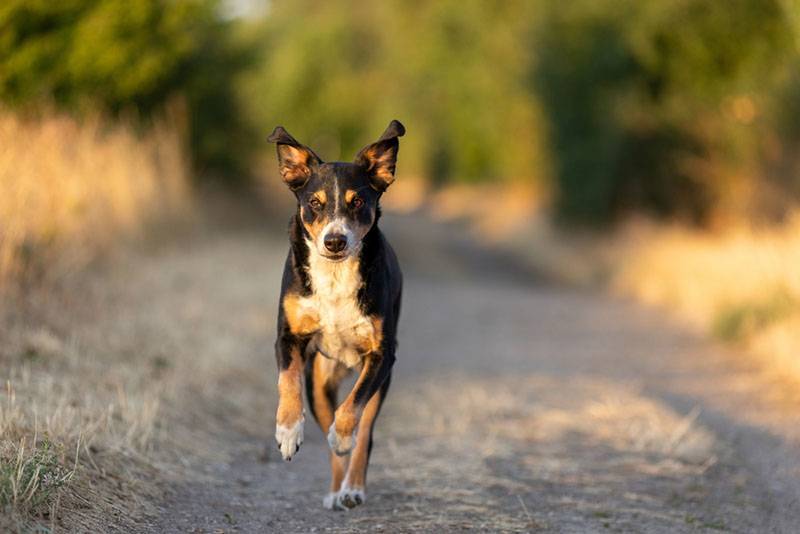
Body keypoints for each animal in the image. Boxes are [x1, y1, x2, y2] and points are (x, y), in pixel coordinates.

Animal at [268, 120, 406, 510]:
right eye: (314, 203)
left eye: (358, 202)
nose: (334, 241)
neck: (334, 276)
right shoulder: (287, 337)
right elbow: (287, 382)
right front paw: (287, 432)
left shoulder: (381, 355)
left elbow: (352, 409)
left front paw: (343, 437)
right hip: (319, 380)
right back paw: (334, 490)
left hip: (380, 381)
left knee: (365, 432)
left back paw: (351, 487)